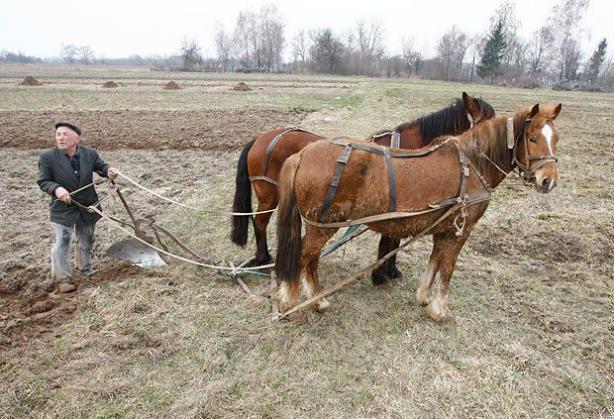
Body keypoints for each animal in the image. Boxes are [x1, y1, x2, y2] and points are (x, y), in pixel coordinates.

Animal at [231, 92, 496, 286]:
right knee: (260, 222)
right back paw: (263, 258)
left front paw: (389, 271)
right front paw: (383, 274)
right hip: (269, 194)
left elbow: (392, 241)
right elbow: (390, 241)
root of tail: (261, 138)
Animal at [276, 103, 564, 324]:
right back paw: (291, 305)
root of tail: (302, 154)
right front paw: (441, 311)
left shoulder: (444, 228)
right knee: (302, 258)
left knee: (311, 260)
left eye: (556, 139)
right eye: (533, 138)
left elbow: (434, 262)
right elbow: (447, 269)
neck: (472, 164)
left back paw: (317, 301)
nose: (548, 181)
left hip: (320, 226)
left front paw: (424, 298)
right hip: (322, 226)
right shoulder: (460, 231)